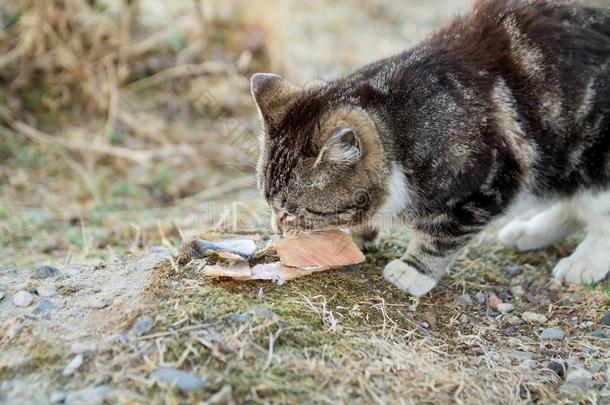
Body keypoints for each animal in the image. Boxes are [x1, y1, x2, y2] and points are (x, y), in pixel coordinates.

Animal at [248, 0, 608, 296]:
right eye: (267, 201)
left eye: (293, 211)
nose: (277, 227)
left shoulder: (492, 180)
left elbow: (442, 235)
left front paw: (413, 270)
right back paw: (530, 233)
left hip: (592, 159)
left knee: (598, 213)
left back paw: (583, 263)